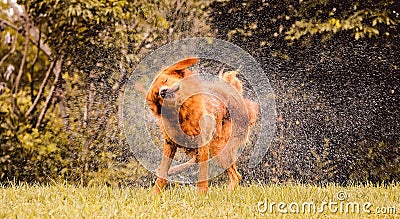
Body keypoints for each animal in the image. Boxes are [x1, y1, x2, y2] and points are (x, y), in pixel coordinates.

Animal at [145, 57, 258, 193]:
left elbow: (203, 174)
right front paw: (156, 193)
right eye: (156, 94)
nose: (163, 91)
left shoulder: (203, 140)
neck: (182, 110)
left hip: (218, 146)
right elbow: (163, 172)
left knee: (236, 176)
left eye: (165, 80)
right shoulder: (170, 143)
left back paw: (228, 193)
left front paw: (201, 194)